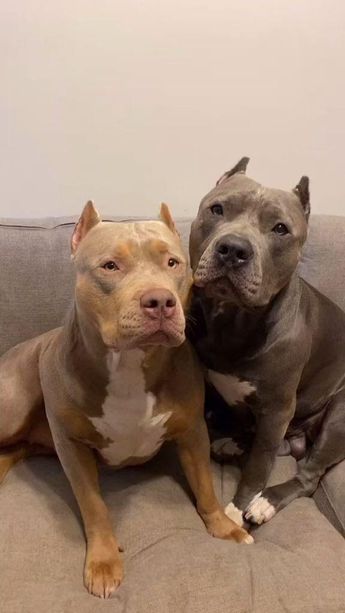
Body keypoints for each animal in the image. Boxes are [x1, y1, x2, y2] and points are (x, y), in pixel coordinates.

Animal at [0, 202, 253, 596]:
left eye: (173, 263)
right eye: (110, 266)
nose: (160, 301)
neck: (131, 363)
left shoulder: (193, 431)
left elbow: (206, 486)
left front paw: (223, 526)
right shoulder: (71, 447)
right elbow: (94, 505)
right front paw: (104, 561)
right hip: (14, 409)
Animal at [189, 158, 344, 524]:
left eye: (280, 229)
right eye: (217, 209)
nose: (233, 249)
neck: (233, 320)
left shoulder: (277, 409)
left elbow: (258, 467)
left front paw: (237, 508)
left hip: (338, 415)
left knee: (307, 476)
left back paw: (266, 502)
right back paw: (232, 444)